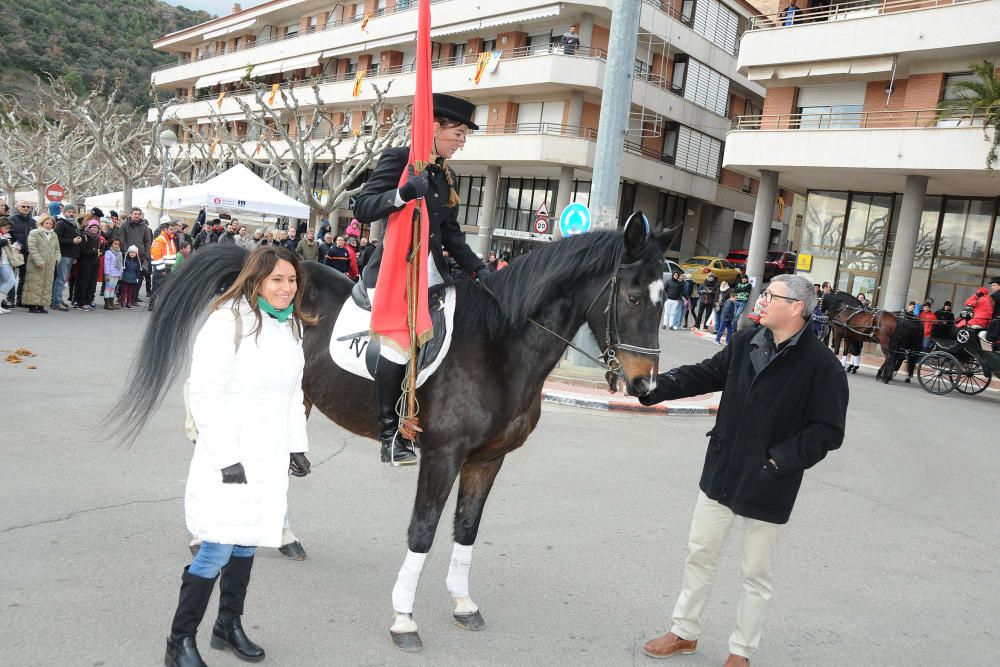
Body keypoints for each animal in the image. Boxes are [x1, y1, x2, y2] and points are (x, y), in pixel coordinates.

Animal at [113, 213, 676, 652]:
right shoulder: (443, 454)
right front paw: (404, 618)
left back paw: (282, 536)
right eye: (631, 296)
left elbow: (466, 530)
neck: (499, 346)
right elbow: (423, 531)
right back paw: (206, 532)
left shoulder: (487, 459)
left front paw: (463, 603)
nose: (646, 385)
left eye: (664, 295)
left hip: (294, 399)